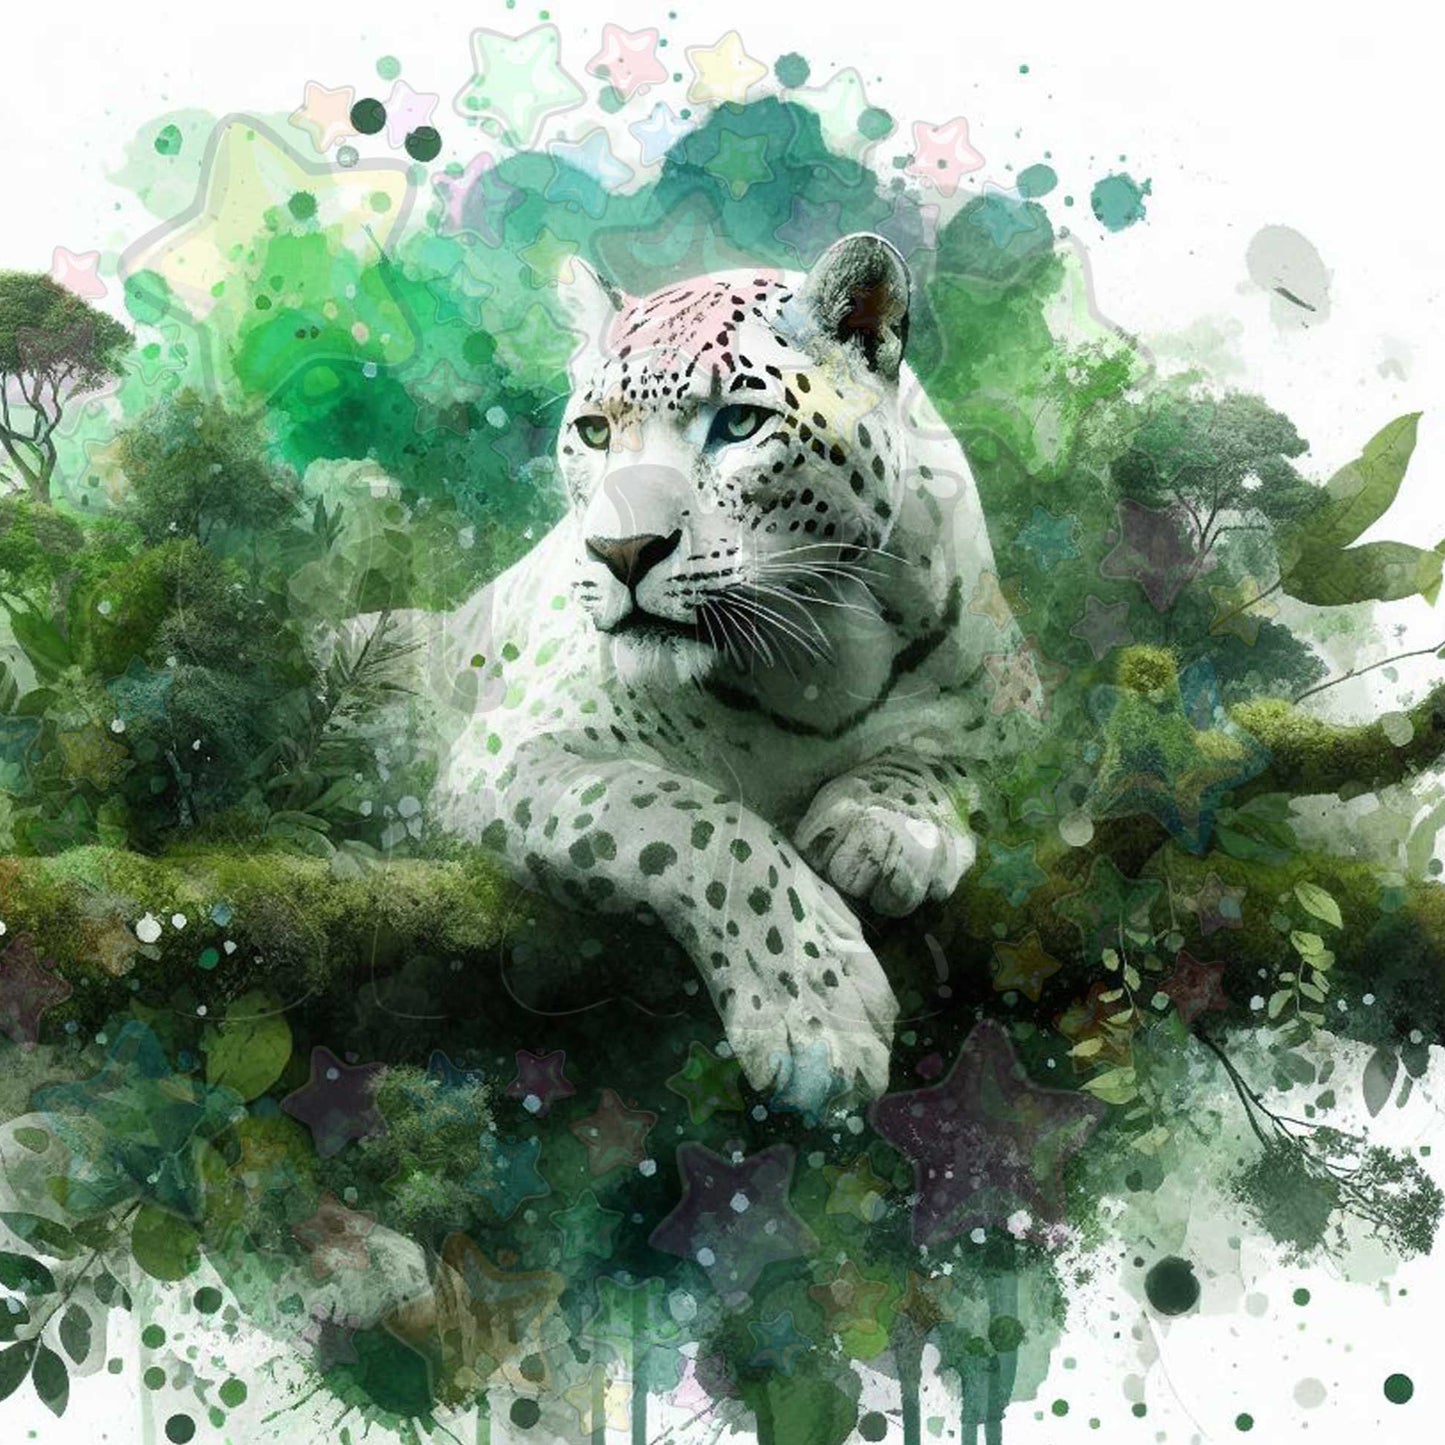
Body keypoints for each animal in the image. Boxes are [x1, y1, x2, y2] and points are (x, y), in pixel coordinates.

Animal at [391, 232, 1027, 1109]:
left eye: (739, 422)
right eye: (594, 431)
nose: (621, 551)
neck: (815, 651)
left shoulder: (1015, 703)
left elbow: (949, 752)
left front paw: (887, 827)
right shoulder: (505, 750)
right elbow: (680, 815)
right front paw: (815, 1012)